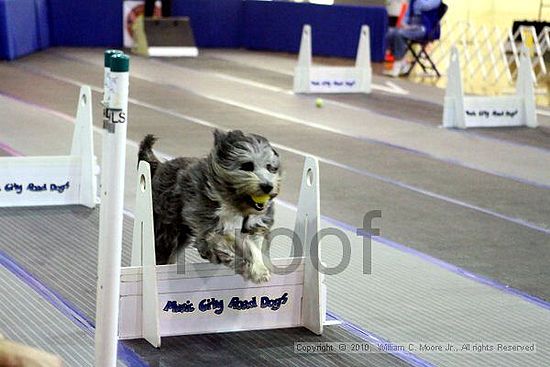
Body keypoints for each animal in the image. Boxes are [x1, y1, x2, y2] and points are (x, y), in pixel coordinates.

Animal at [138, 130, 284, 284]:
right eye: (247, 165)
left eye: (270, 167)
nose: (267, 186)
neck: (234, 203)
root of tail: (160, 165)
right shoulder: (210, 226)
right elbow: (232, 243)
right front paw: (251, 268)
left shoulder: (255, 223)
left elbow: (254, 244)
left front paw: (259, 269)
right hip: (167, 230)